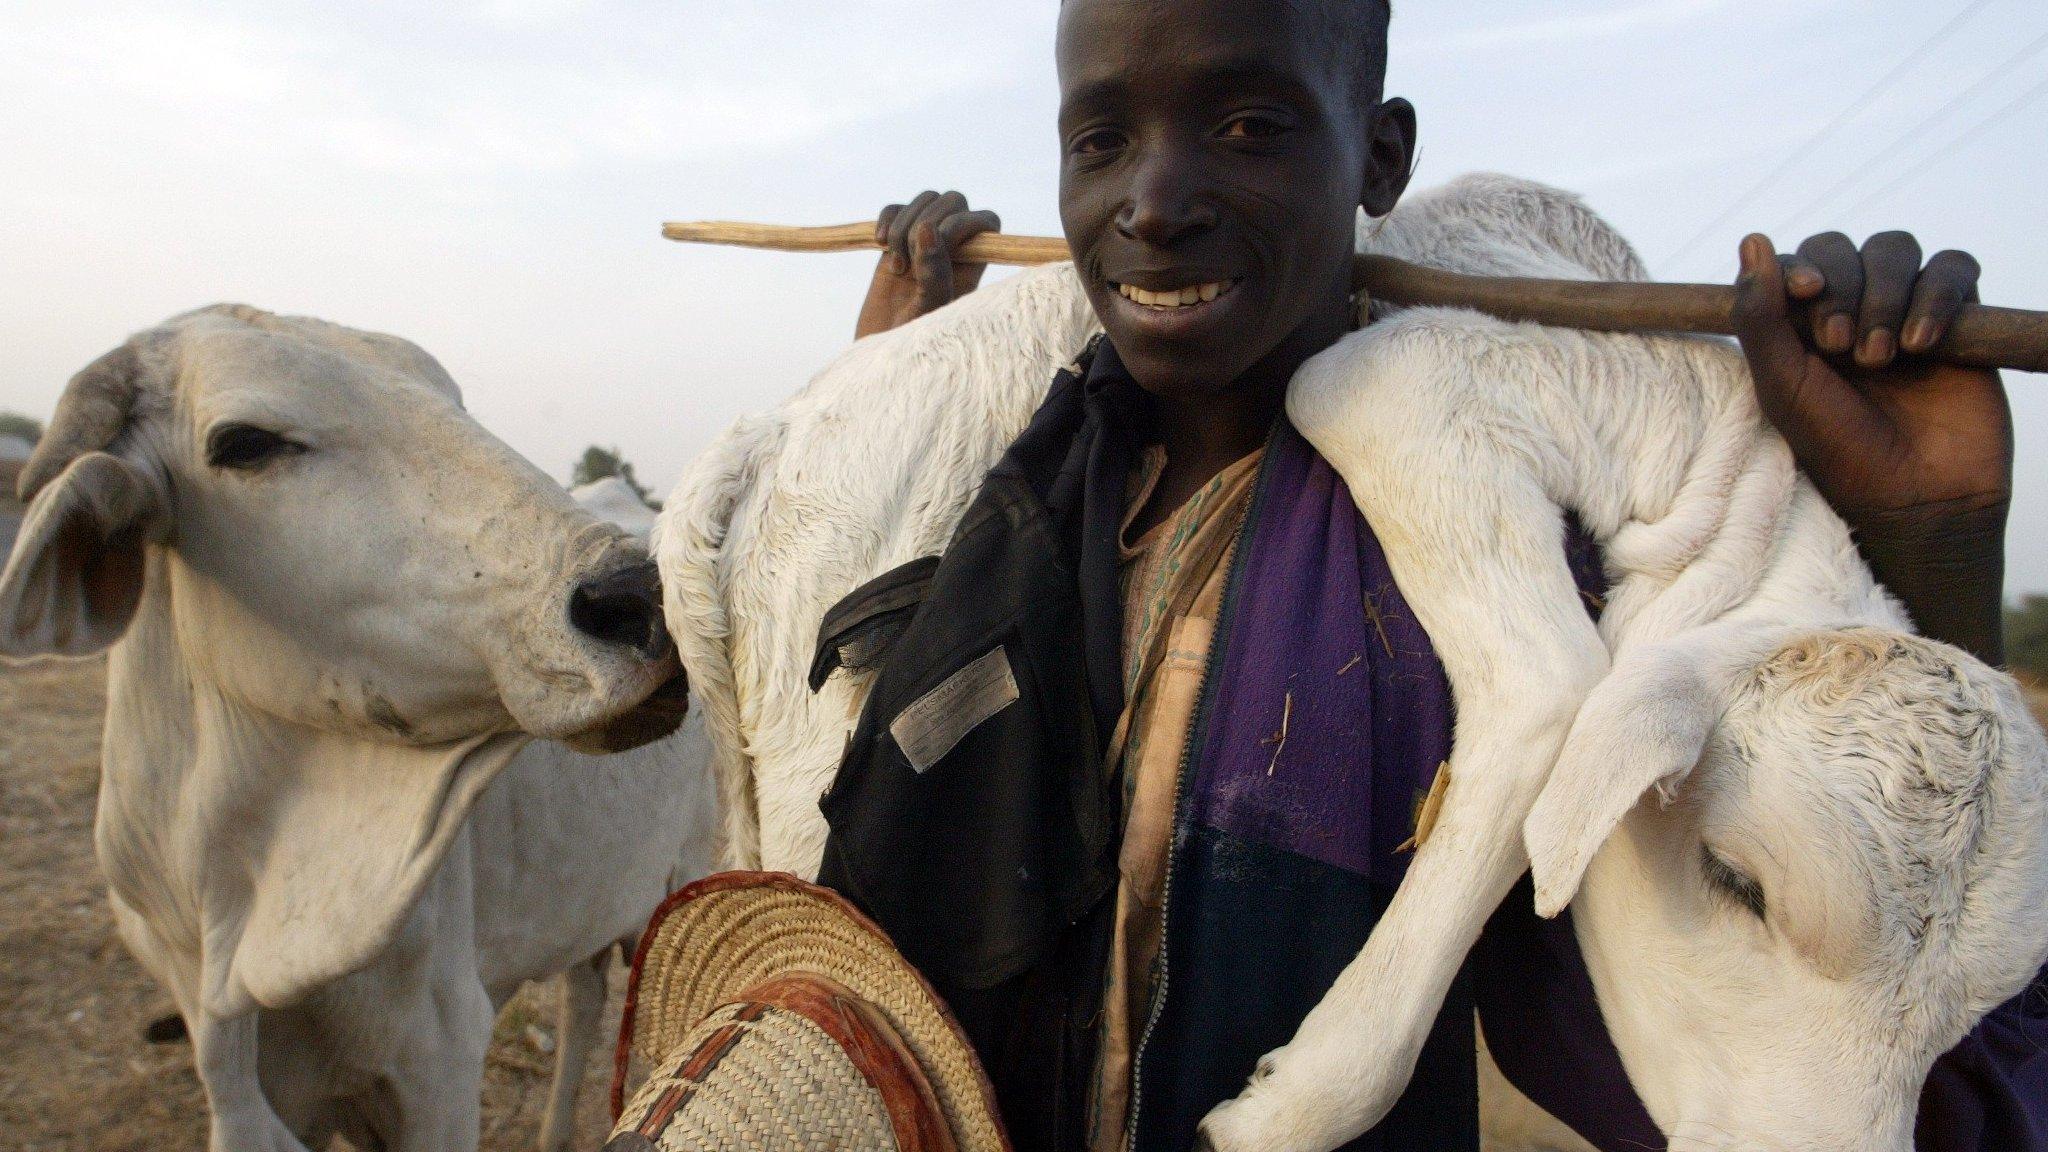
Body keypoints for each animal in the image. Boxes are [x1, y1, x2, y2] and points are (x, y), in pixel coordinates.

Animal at [0, 305, 720, 1147]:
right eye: (244, 443)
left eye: (454, 403)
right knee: (584, 993)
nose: (640, 596)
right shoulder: (257, 1100)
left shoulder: (438, 1061)